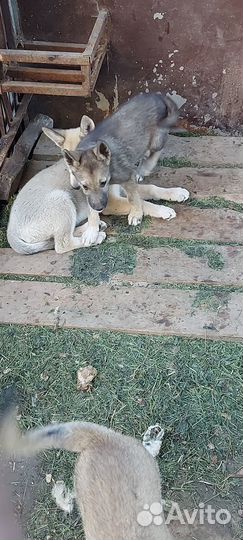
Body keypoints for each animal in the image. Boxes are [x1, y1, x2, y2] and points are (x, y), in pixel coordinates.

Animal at [64, 93, 178, 226]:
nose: (99, 208)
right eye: (85, 186)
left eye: (103, 183)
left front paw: (136, 214)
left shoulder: (126, 177)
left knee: (156, 149)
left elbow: (133, 198)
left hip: (157, 139)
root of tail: (157, 95)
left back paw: (144, 168)